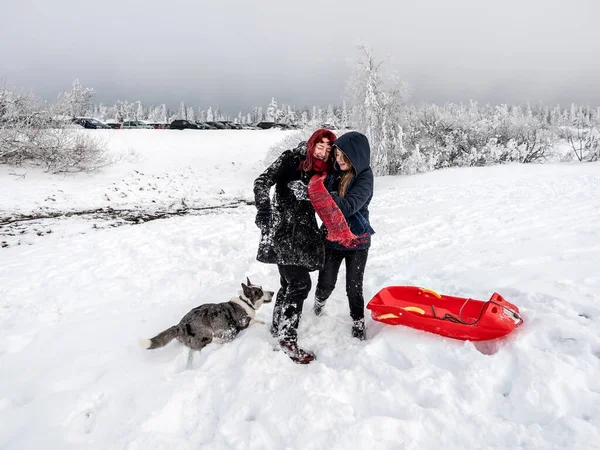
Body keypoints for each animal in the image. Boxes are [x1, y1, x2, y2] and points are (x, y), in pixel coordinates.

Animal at [139, 278, 274, 366]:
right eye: (260, 292)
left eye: (262, 288)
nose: (273, 292)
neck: (246, 302)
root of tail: (181, 325)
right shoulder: (245, 322)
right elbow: (257, 321)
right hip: (207, 334)